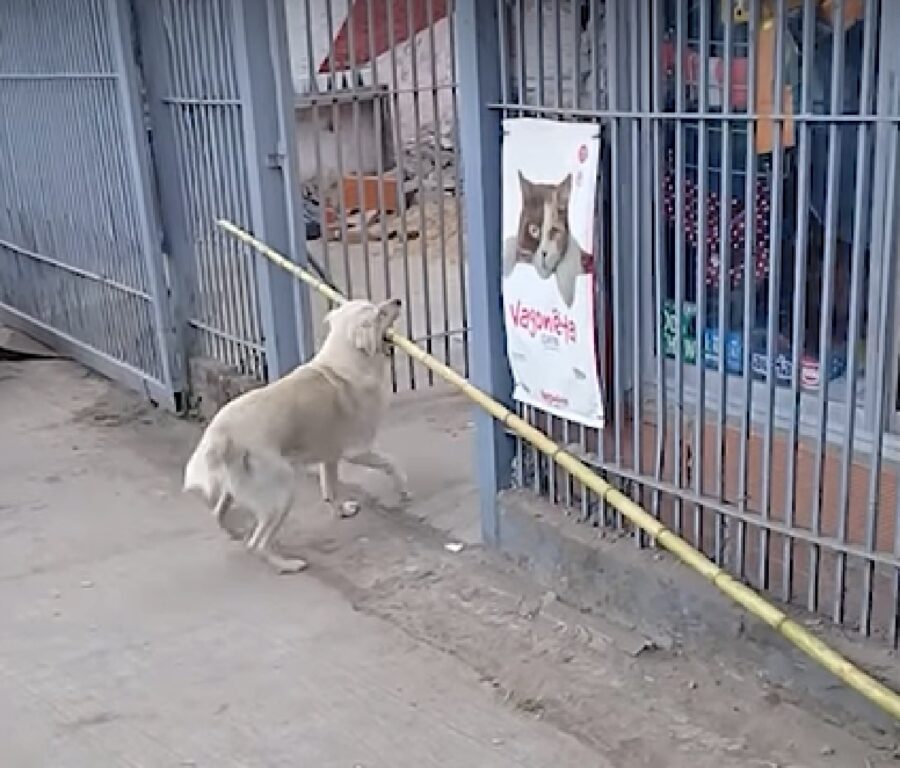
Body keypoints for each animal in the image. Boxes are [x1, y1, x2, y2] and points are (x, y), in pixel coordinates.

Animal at [183, 296, 408, 572]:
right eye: (379, 314)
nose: (397, 300)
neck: (345, 361)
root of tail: (220, 435)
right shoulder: (358, 450)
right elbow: (391, 463)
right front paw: (403, 489)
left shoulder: (329, 455)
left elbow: (330, 489)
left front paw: (341, 510)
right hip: (282, 492)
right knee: (258, 544)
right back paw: (287, 564)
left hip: (236, 488)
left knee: (218, 514)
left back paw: (236, 533)